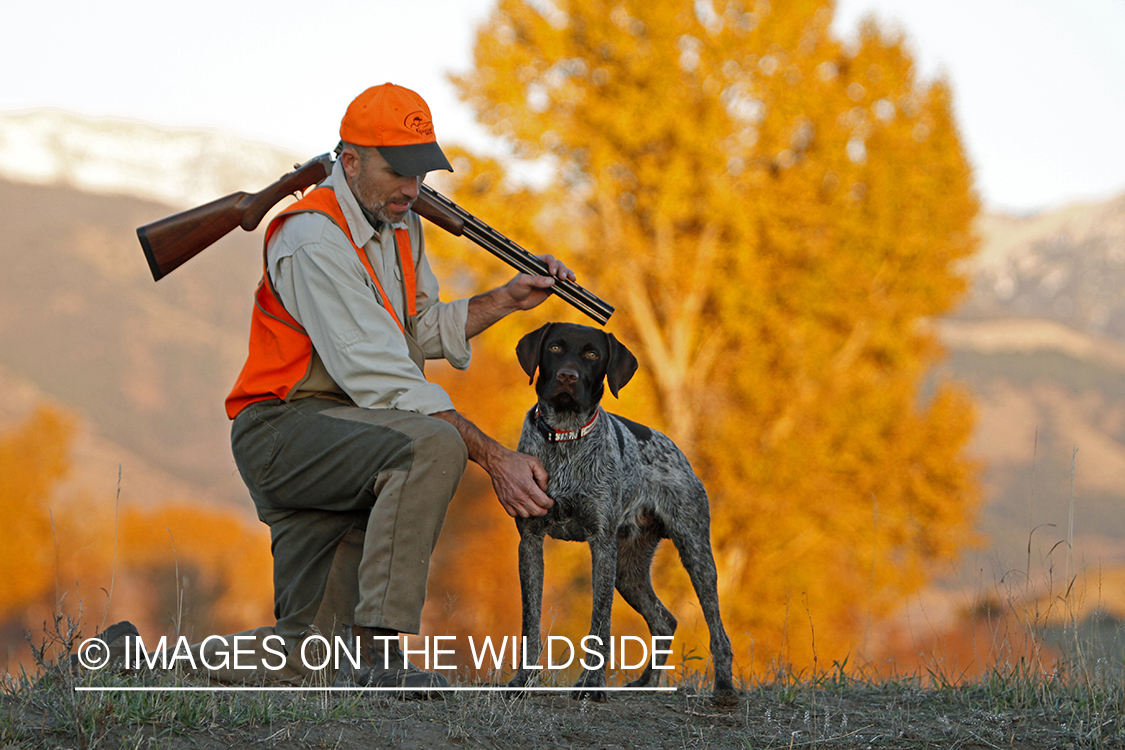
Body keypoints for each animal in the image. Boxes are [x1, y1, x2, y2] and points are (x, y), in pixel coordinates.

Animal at [510, 321, 738, 706]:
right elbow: (530, 621)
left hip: (694, 552)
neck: (566, 438)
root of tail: (676, 448)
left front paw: (591, 684)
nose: (567, 376)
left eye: (592, 354)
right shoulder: (530, 542)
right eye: (555, 347)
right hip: (629, 570)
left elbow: (600, 624)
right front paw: (524, 681)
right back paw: (646, 683)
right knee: (664, 620)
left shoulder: (602, 544)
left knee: (718, 630)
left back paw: (724, 688)